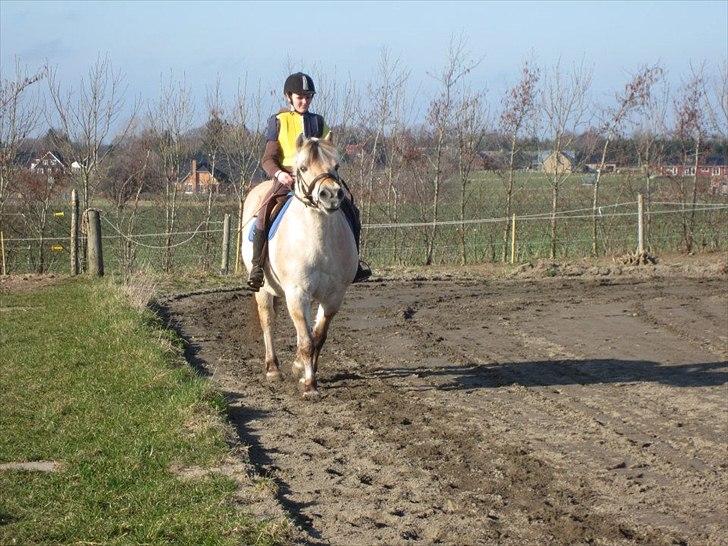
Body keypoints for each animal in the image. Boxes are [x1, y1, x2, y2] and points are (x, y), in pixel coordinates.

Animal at [242, 138, 358, 398]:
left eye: (336, 165)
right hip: (264, 289)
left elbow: (317, 337)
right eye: (303, 168)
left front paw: (305, 372)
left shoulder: (334, 296)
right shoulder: (296, 293)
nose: (331, 195)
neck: (318, 240)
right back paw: (272, 369)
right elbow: (306, 341)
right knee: (268, 321)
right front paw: (310, 386)